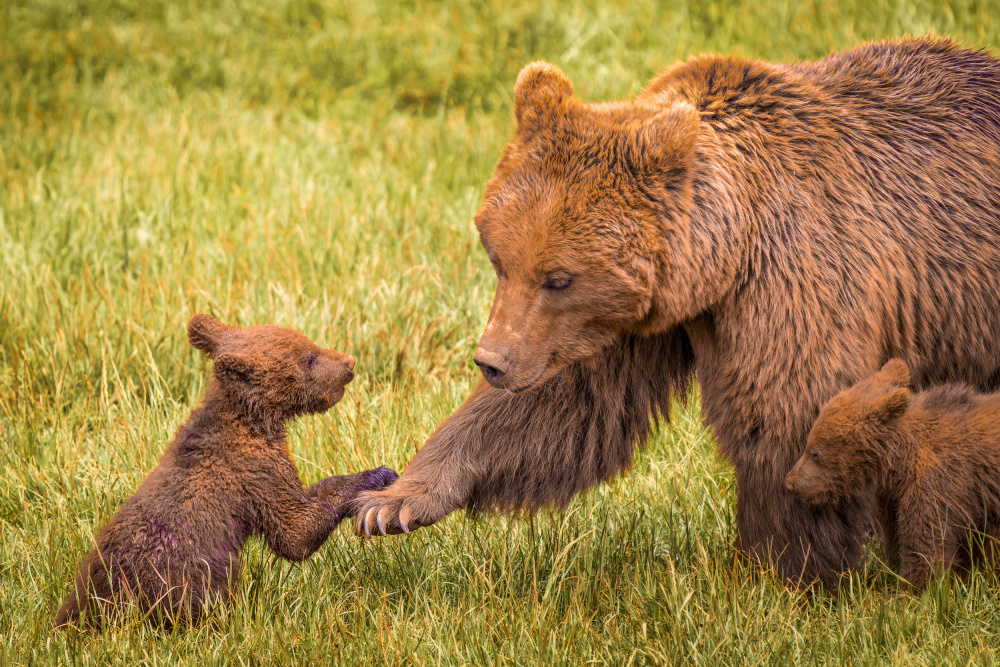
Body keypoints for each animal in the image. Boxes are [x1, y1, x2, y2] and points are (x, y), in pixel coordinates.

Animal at [356, 37, 996, 588]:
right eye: (498, 258)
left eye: (558, 278)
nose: (491, 361)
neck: (725, 256)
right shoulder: (626, 324)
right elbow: (564, 406)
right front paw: (393, 502)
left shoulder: (799, 280)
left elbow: (792, 414)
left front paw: (785, 573)